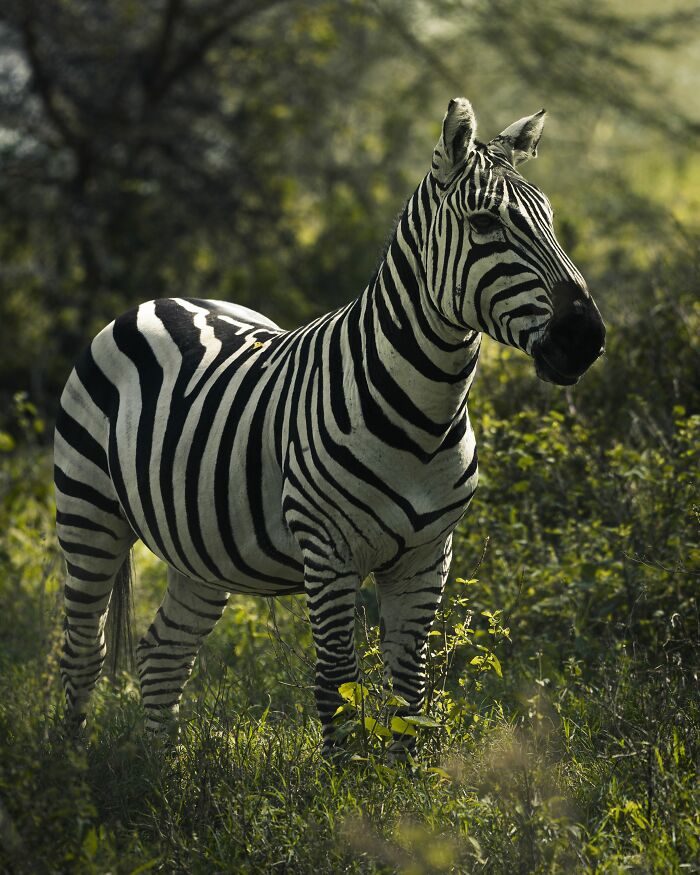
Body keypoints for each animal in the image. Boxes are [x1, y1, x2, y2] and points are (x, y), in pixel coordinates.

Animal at [55, 98, 605, 754]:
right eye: (485, 224)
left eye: (550, 219)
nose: (587, 338)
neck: (424, 418)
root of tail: (162, 301)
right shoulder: (327, 551)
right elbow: (338, 683)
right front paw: (350, 781)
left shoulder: (429, 554)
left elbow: (410, 686)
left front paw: (406, 776)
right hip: (87, 510)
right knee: (82, 651)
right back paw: (73, 769)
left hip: (201, 547)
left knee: (164, 652)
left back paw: (159, 769)